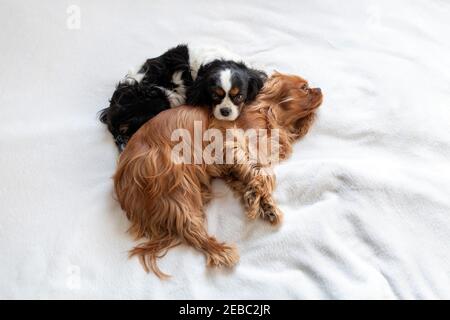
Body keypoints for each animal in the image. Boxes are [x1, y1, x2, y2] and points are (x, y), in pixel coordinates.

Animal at [114, 72, 322, 278]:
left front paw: (264, 205)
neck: (266, 111)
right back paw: (222, 251)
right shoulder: (232, 143)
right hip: (177, 186)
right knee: (190, 231)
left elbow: (251, 178)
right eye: (304, 88)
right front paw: (259, 201)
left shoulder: (231, 167)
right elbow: (263, 176)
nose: (320, 89)